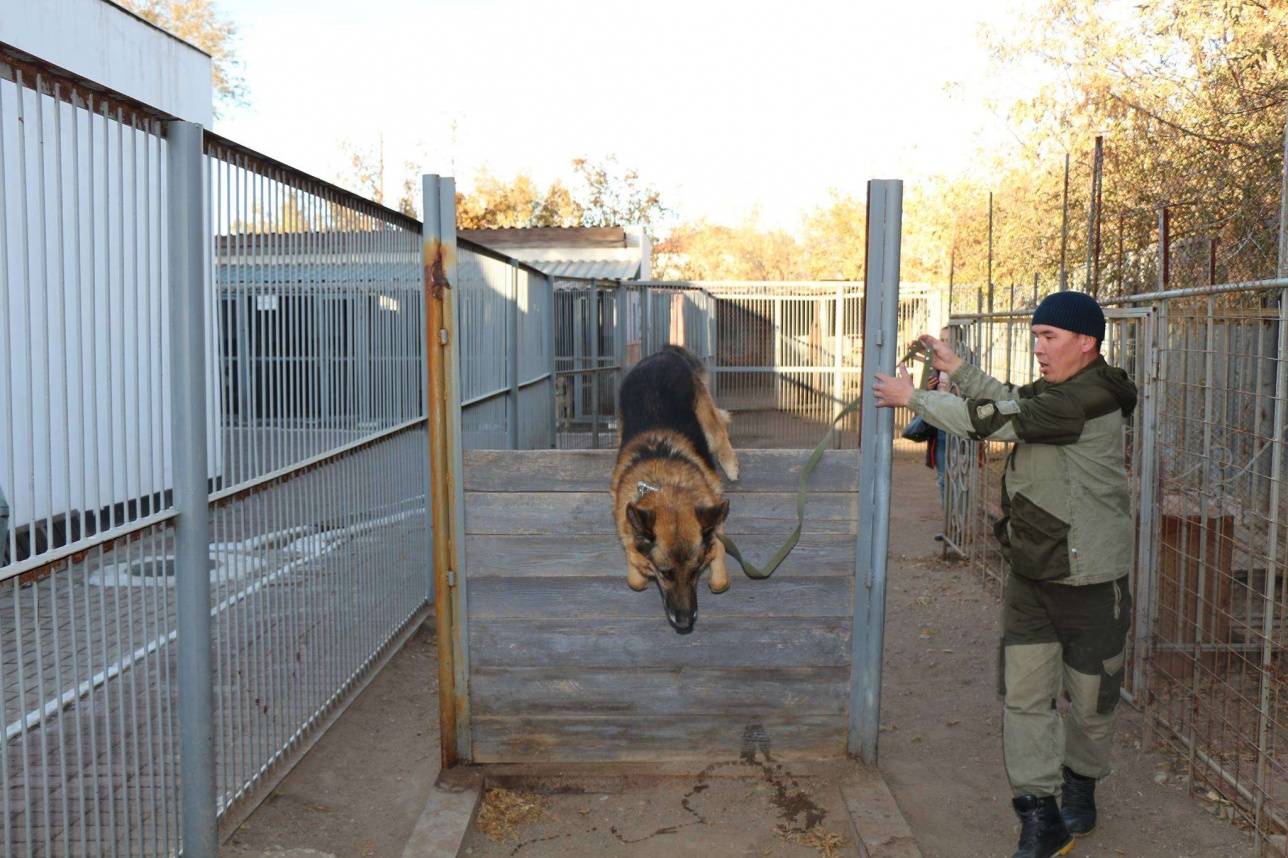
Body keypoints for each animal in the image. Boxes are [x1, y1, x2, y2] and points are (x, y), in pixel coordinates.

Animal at [615, 345, 747, 631]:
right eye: (665, 573)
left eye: (695, 571)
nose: (685, 622)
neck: (665, 484)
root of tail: (663, 354)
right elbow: (635, 578)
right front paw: (640, 570)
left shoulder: (714, 523)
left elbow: (719, 573)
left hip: (706, 418)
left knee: (721, 433)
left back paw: (731, 466)